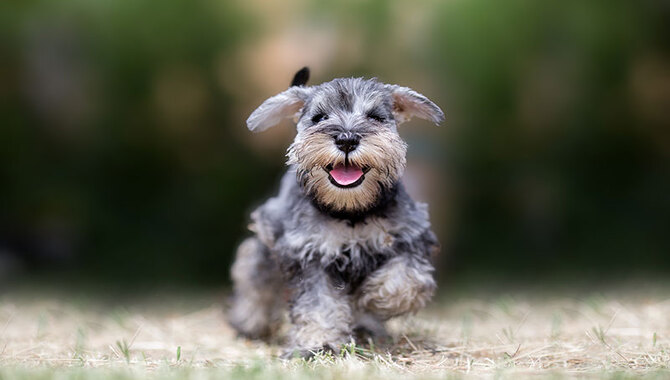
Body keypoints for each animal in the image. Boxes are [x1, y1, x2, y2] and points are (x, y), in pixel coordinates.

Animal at [231, 67, 446, 356]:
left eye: (375, 117)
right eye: (320, 117)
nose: (346, 139)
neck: (350, 212)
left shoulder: (411, 237)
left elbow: (406, 279)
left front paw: (373, 298)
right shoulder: (309, 254)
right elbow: (318, 304)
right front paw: (319, 342)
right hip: (266, 244)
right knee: (254, 275)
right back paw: (248, 322)